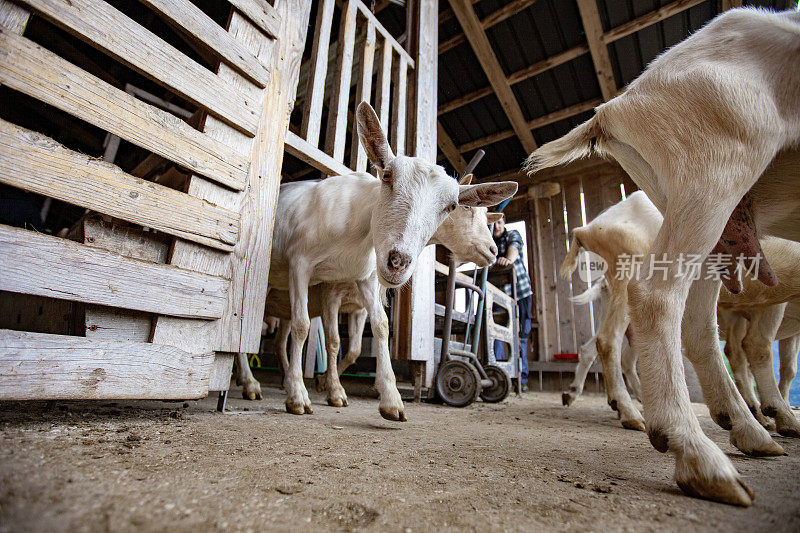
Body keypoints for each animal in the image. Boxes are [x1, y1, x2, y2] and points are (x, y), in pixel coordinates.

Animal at [268, 102, 516, 420]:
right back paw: (256, 384)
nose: (398, 261)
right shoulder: (304, 268)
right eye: (386, 176)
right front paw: (301, 396)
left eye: (451, 206)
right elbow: (308, 329)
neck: (355, 230)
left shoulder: (364, 281)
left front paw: (390, 398)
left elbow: (379, 328)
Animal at [524, 8, 800, 502]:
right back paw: (692, 449)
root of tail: (613, 109)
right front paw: (783, 415)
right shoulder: (779, 299)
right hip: (716, 171)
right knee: (644, 313)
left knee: (661, 333)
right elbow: (766, 354)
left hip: (718, 228)